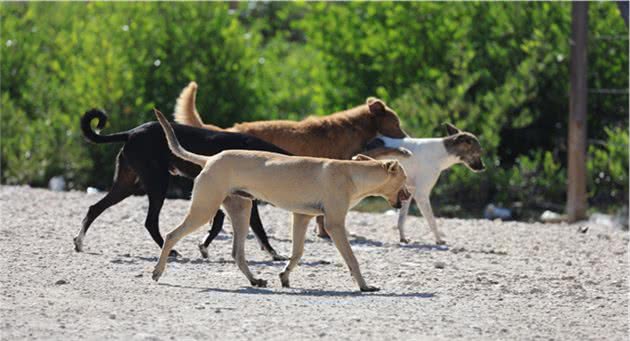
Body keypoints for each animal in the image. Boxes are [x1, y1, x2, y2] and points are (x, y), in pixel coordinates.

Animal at [76, 108, 288, 258]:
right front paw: (274, 254)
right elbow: (258, 228)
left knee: (94, 208)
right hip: (158, 183)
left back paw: (79, 242)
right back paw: (169, 251)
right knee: (150, 222)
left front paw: (204, 247)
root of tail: (131, 132)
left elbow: (218, 224)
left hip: (127, 184)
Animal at [151, 109, 412, 292]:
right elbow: (352, 258)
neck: (351, 173)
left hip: (241, 212)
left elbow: (297, 253)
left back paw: (255, 280)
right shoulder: (334, 225)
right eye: (405, 177)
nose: (410, 194)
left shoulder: (302, 217)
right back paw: (157, 271)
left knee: (238, 254)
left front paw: (284, 276)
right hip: (204, 210)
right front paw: (364, 286)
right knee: (171, 235)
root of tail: (210, 159)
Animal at [358, 123, 486, 243]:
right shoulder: (421, 194)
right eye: (479, 152)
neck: (441, 153)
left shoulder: (407, 192)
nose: (483, 168)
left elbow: (401, 220)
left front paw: (403, 238)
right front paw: (438, 240)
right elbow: (432, 221)